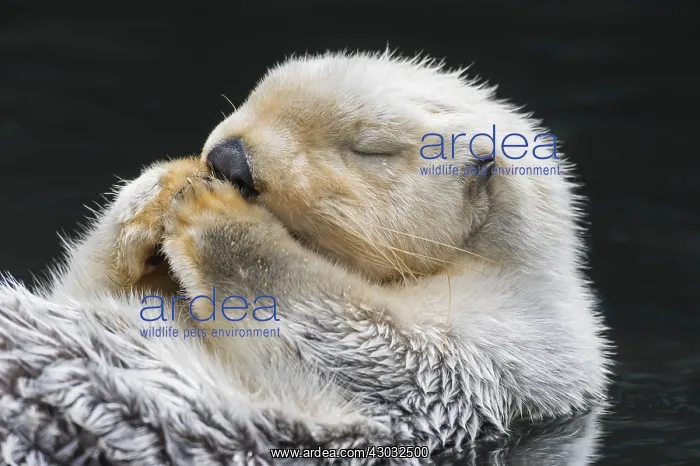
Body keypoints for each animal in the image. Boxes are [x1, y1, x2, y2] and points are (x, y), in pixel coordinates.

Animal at [43, 50, 612, 455]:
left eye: (370, 149)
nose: (229, 159)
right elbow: (83, 290)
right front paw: (163, 186)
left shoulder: (500, 351)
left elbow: (365, 335)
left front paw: (215, 214)